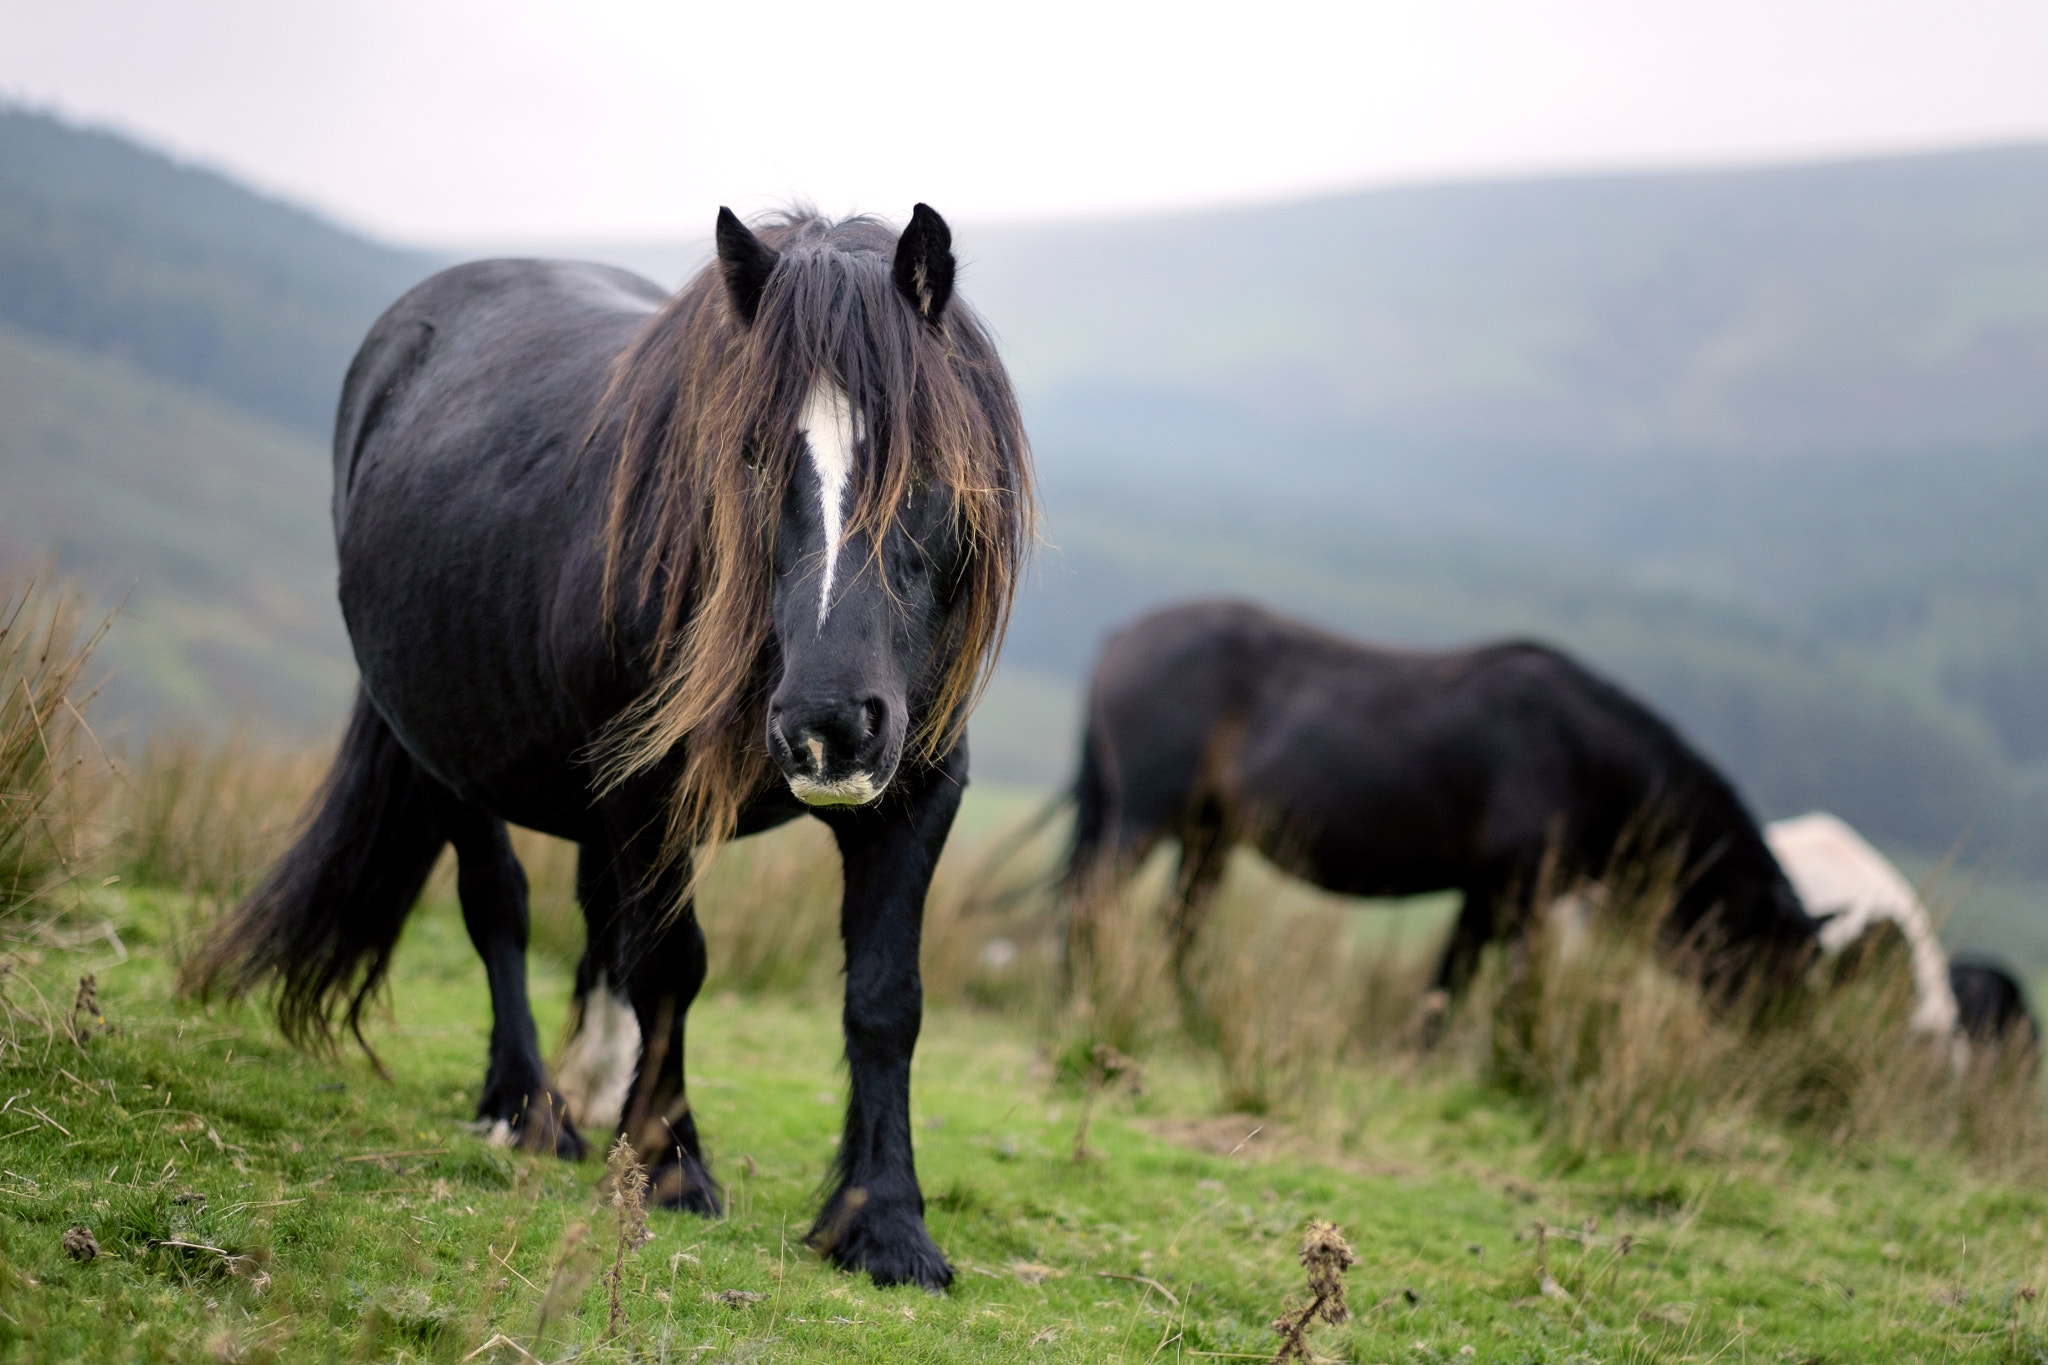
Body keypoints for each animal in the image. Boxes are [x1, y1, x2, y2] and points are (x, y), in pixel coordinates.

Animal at [189, 206, 1033, 1290]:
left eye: (925, 458)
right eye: (750, 452)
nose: (828, 722)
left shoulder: (916, 786)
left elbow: (884, 998)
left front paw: (881, 1223)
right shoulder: (647, 789)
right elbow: (671, 964)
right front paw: (673, 1168)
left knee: (599, 921)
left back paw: (593, 1090)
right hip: (449, 747)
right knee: (500, 907)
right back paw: (526, 1107)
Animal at [1060, 599, 1818, 1013]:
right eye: (1776, 972)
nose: (1781, 1074)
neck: (1583, 758)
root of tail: (1124, 634)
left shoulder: (1486, 895)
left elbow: (1448, 985)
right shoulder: (1518, 897)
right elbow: (1500, 990)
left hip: (1209, 834)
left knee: (1180, 927)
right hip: (1143, 819)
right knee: (1092, 906)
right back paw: (1084, 1002)